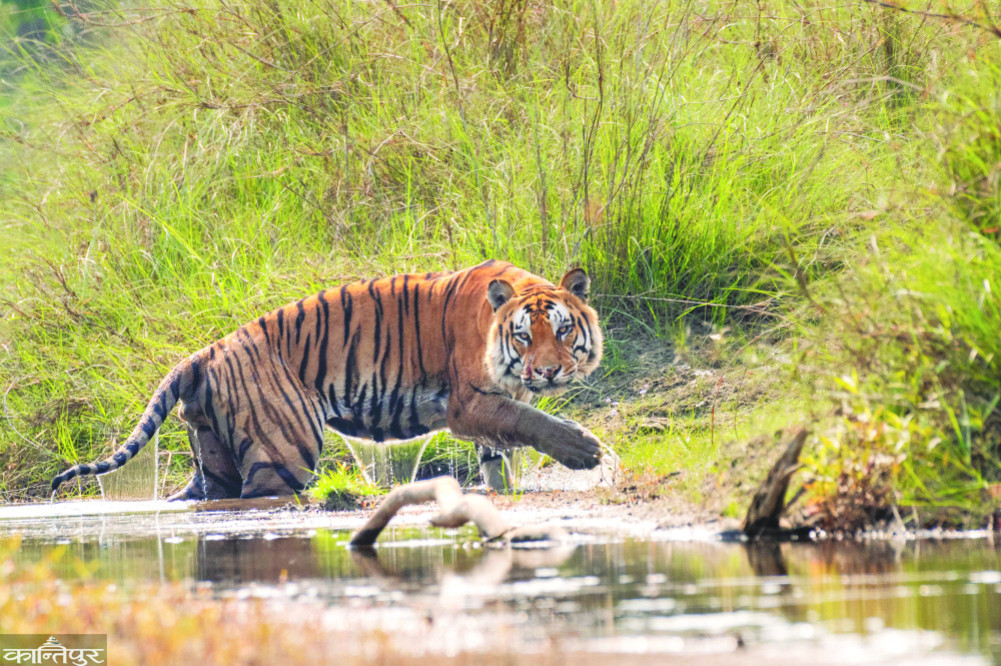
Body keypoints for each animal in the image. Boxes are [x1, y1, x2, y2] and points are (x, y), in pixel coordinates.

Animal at [51, 260, 607, 500]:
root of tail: (205, 352)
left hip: (214, 457)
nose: (546, 370)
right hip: (282, 452)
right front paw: (587, 452)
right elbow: (530, 421)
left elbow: (502, 454)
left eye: (562, 330)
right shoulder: (471, 403)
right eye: (523, 337)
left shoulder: (491, 409)